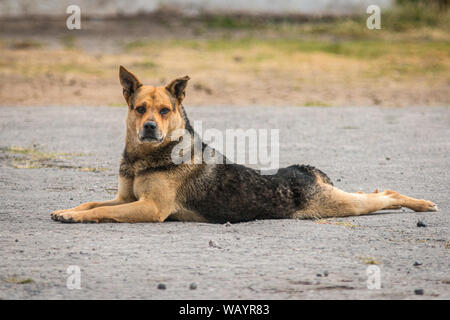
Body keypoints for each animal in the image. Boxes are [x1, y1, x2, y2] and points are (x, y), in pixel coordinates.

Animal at [51, 66, 438, 224]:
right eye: (139, 108)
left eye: (164, 110)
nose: (148, 127)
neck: (144, 158)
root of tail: (305, 171)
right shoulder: (125, 198)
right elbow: (92, 202)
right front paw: (68, 210)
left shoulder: (150, 208)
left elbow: (101, 212)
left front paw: (76, 217)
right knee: (377, 192)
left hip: (338, 205)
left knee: (381, 196)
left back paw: (421, 204)